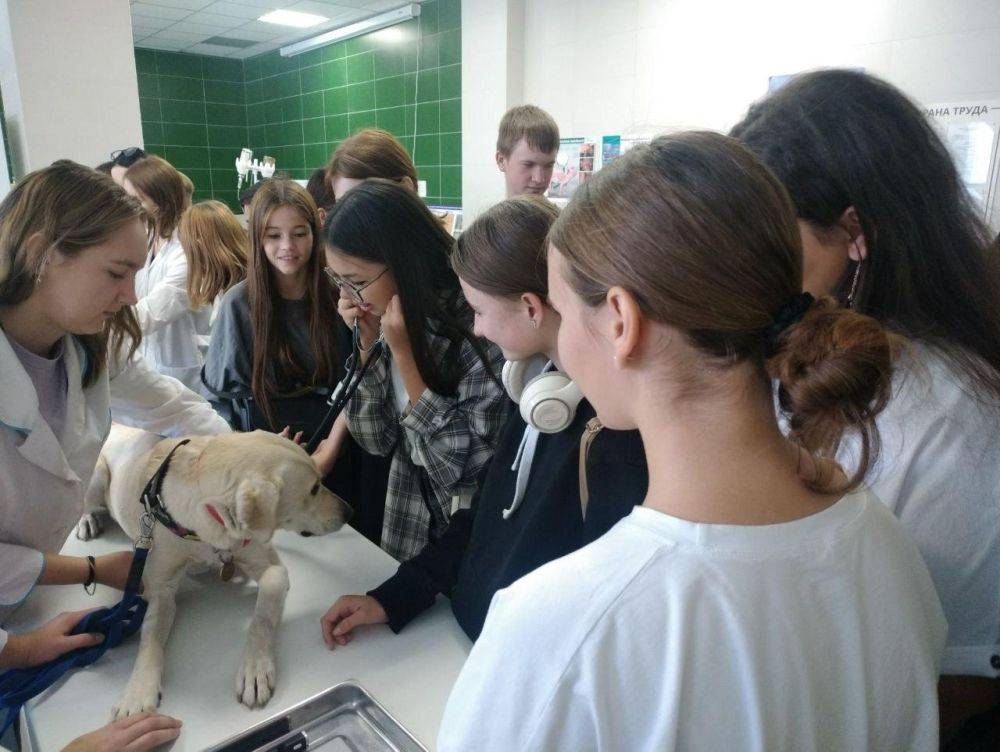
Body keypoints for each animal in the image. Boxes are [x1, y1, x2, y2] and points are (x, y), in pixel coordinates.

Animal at [78, 426, 352, 720]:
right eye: (313, 489)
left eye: (321, 479)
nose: (349, 511)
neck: (207, 532)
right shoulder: (161, 591)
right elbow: (149, 639)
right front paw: (137, 692)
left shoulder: (272, 567)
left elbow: (263, 614)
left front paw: (255, 669)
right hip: (95, 478)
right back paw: (86, 520)